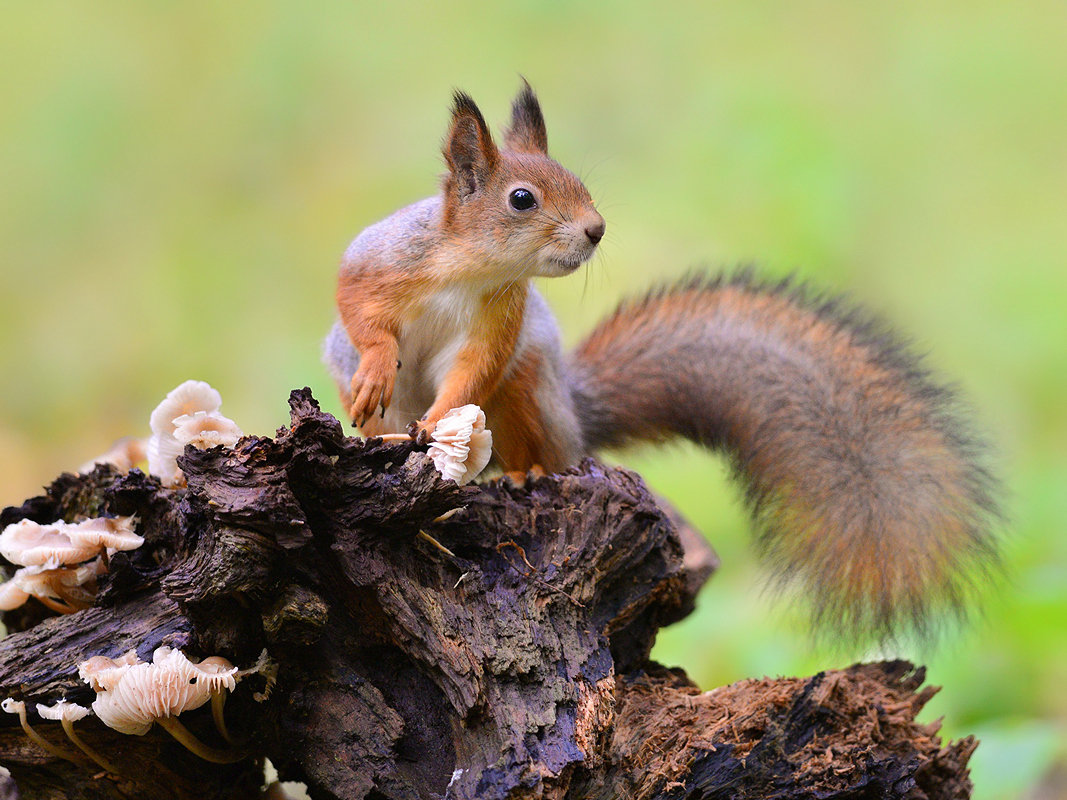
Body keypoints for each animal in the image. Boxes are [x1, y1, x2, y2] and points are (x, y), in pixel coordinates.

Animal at [322, 84, 998, 644]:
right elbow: (357, 310)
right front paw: (377, 370)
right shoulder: (379, 261)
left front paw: (442, 418)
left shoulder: (499, 320)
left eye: (578, 181)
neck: (472, 268)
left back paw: (520, 473)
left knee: (551, 450)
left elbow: (472, 372)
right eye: (521, 199)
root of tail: (574, 412)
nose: (596, 230)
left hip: (532, 388)